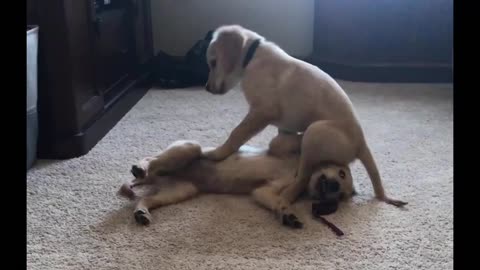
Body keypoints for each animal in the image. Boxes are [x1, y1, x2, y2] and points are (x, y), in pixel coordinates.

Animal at [201, 24, 406, 207]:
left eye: (213, 62)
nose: (207, 88)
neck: (252, 57)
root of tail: (361, 144)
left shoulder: (261, 112)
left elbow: (236, 134)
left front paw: (217, 153)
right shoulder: (281, 123)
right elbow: (279, 138)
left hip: (315, 132)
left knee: (303, 178)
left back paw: (284, 199)